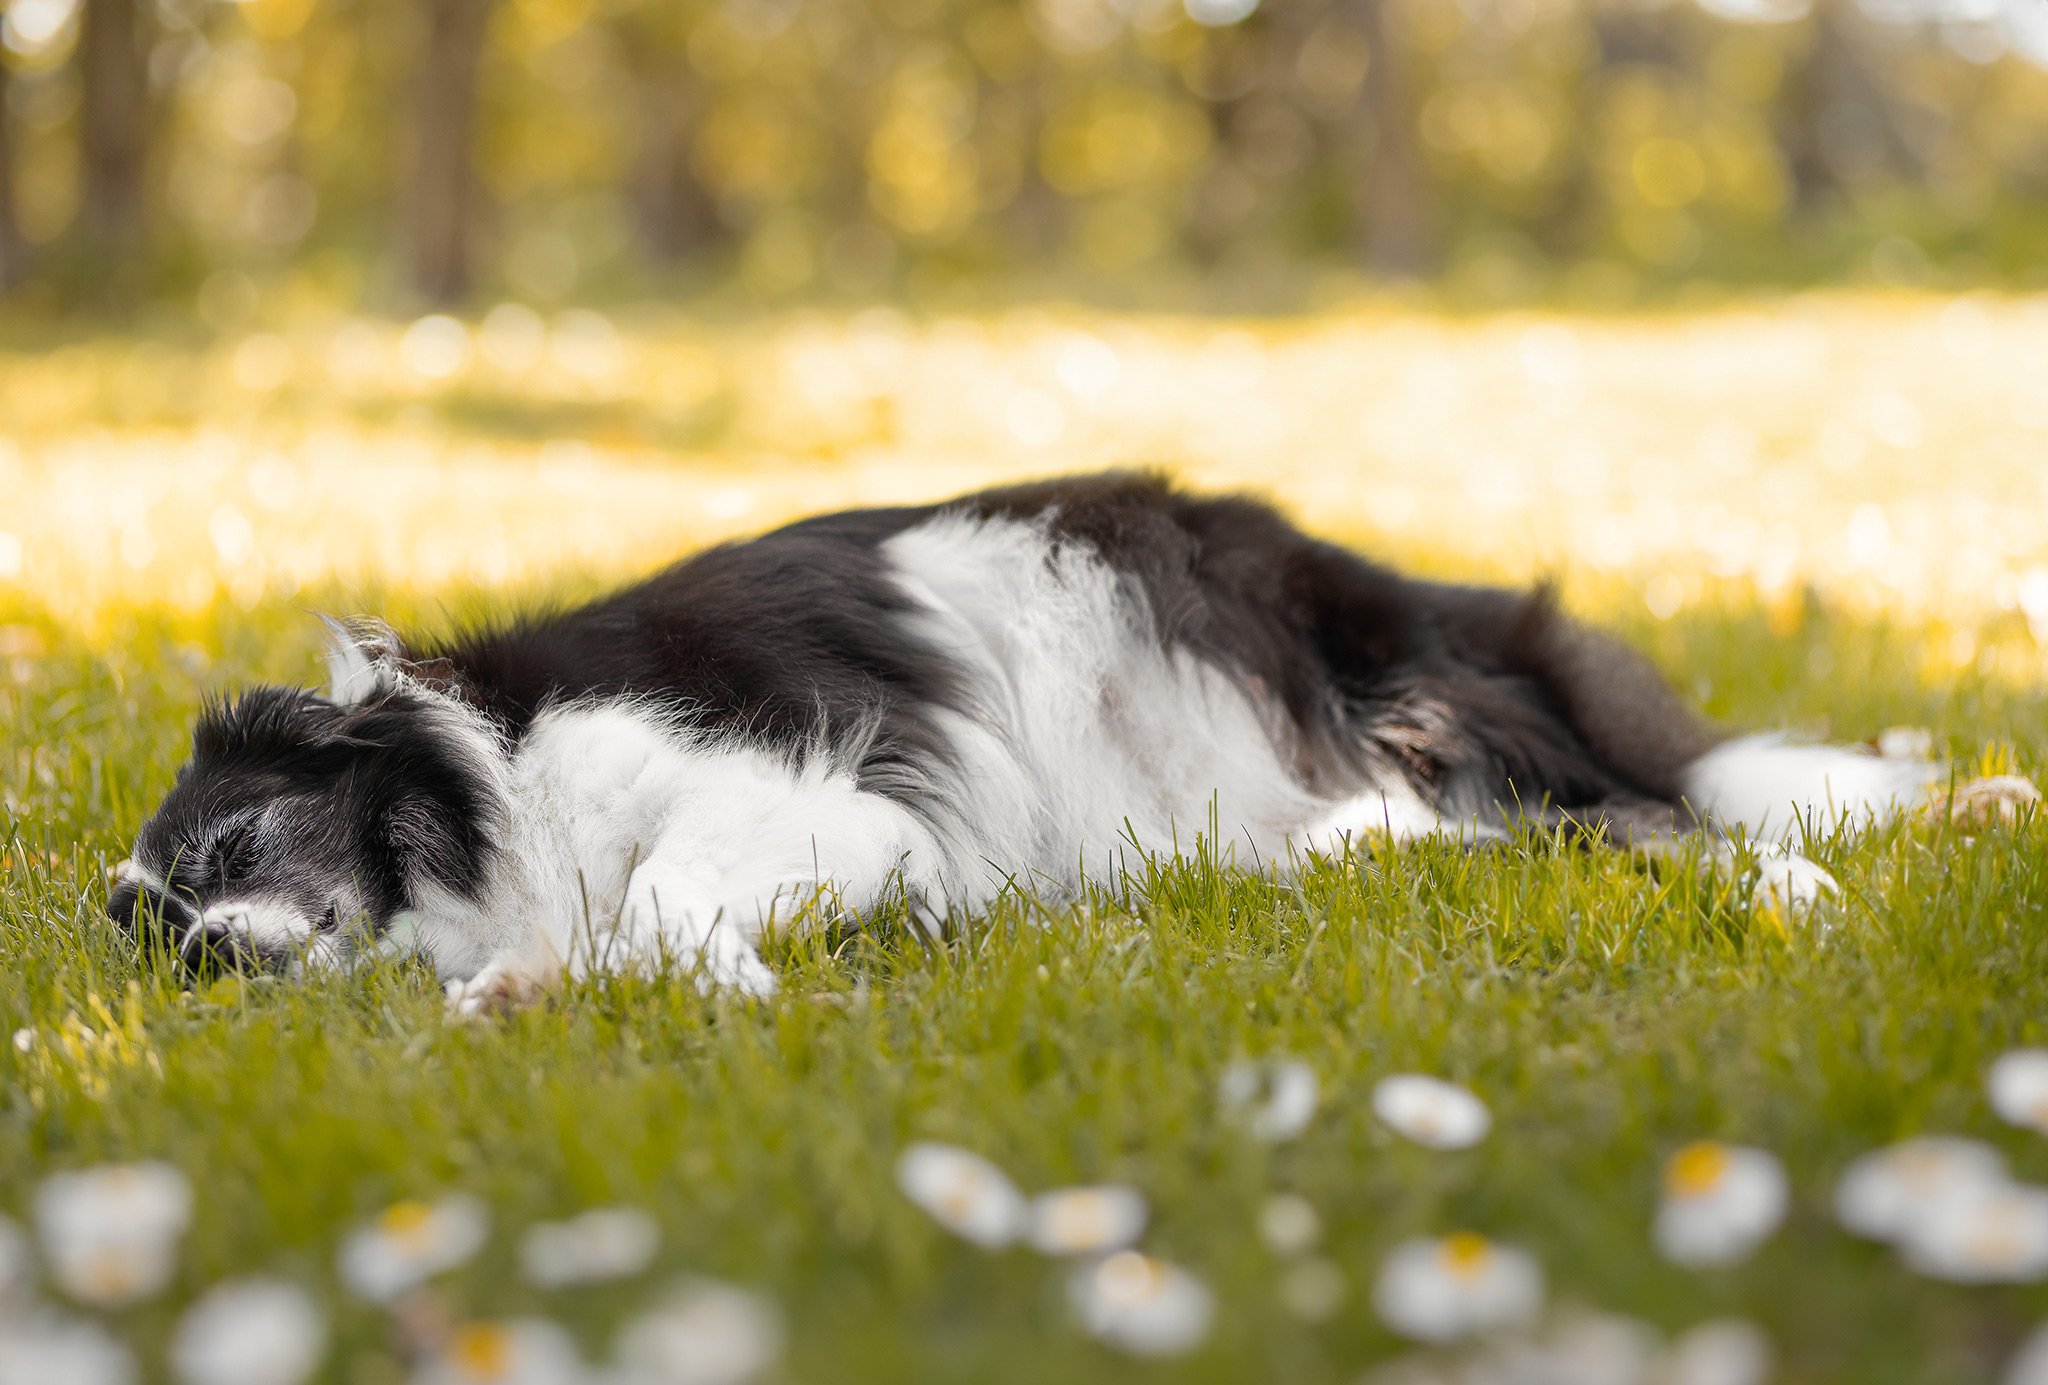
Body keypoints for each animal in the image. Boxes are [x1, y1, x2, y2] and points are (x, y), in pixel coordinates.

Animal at [103, 471, 2007, 1012]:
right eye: (161, 936)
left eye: (225, 857)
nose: (214, 955)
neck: (482, 782)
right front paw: (536, 993)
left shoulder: (804, 793)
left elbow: (659, 903)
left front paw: (690, 984)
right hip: (1338, 822)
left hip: (1409, 721)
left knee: (1670, 820)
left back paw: (1825, 887)